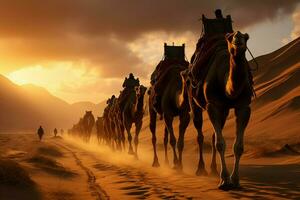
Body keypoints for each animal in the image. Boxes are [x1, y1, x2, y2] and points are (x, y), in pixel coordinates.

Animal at [183, 30, 253, 189]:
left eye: (246, 37)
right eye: (230, 37)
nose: (238, 38)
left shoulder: (244, 107)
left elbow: (238, 146)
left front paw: (235, 180)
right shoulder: (212, 105)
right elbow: (220, 143)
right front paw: (225, 180)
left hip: (225, 111)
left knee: (214, 134)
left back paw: (214, 170)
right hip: (193, 101)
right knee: (200, 134)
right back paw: (201, 169)